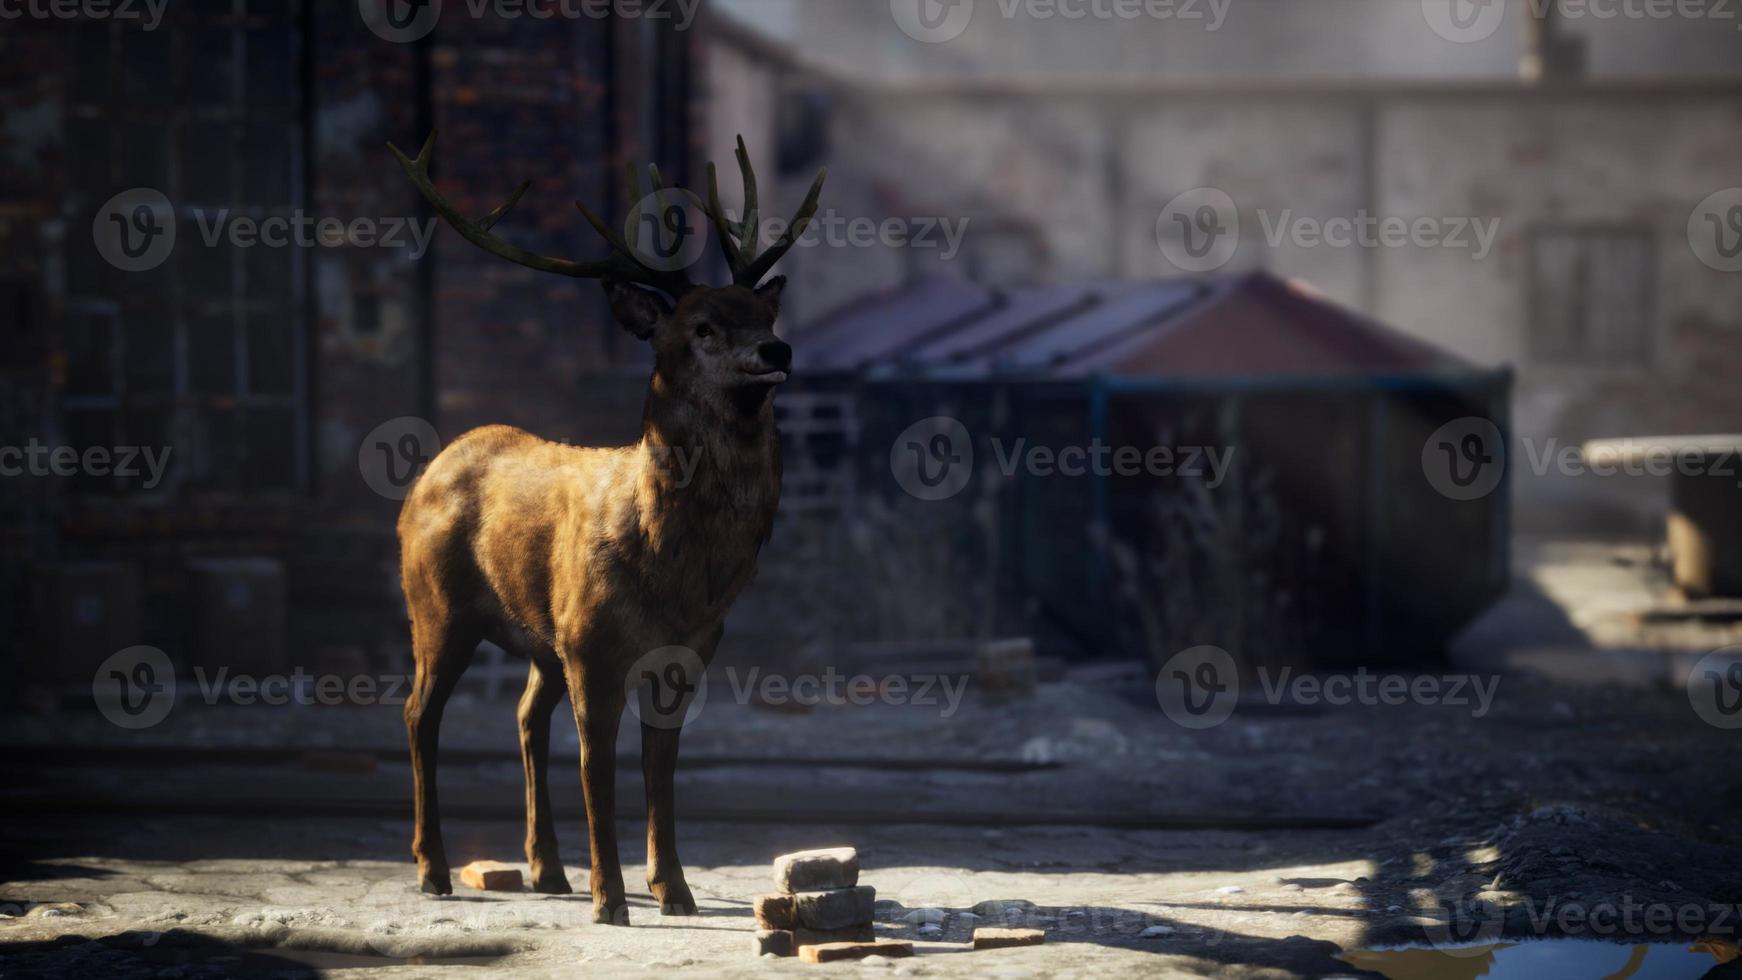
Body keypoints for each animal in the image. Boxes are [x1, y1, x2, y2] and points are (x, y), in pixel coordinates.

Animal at [391, 132, 825, 926]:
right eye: (702, 327)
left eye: (766, 317)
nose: (776, 353)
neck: (681, 573)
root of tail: (431, 468)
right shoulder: (592, 649)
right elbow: (599, 768)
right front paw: (612, 899)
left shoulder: (687, 653)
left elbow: (661, 769)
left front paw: (674, 891)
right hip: (436, 608)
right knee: (419, 713)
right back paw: (433, 868)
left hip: (539, 637)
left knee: (526, 715)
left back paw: (546, 870)